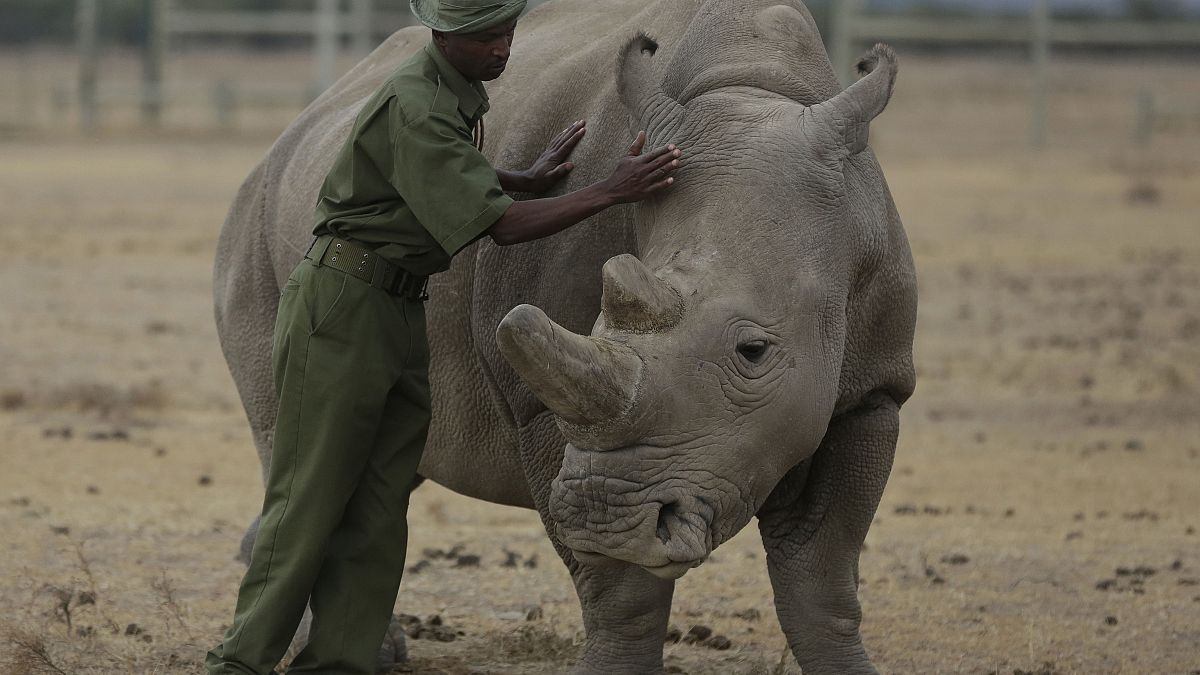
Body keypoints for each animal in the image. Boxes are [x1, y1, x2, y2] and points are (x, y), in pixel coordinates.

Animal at [213, 0, 917, 672]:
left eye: (753, 352)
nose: (599, 516)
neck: (753, 89)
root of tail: (293, 131)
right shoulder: (547, 405)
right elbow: (623, 590)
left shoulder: (873, 391)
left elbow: (819, 573)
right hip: (252, 228)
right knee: (304, 447)